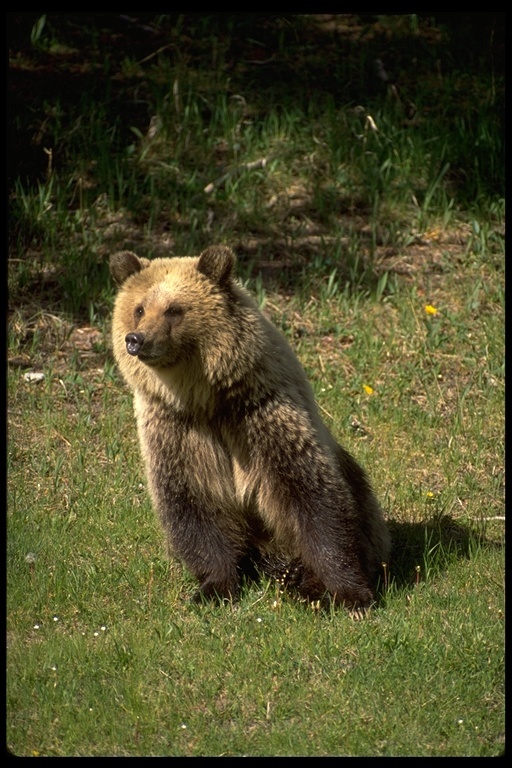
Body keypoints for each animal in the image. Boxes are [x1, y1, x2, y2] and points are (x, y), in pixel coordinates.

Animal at [110, 243, 390, 608]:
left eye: (173, 309)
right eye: (139, 308)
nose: (137, 339)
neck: (204, 397)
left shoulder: (259, 413)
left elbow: (312, 496)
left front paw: (348, 593)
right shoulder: (176, 428)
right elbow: (192, 501)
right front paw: (214, 587)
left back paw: (299, 578)